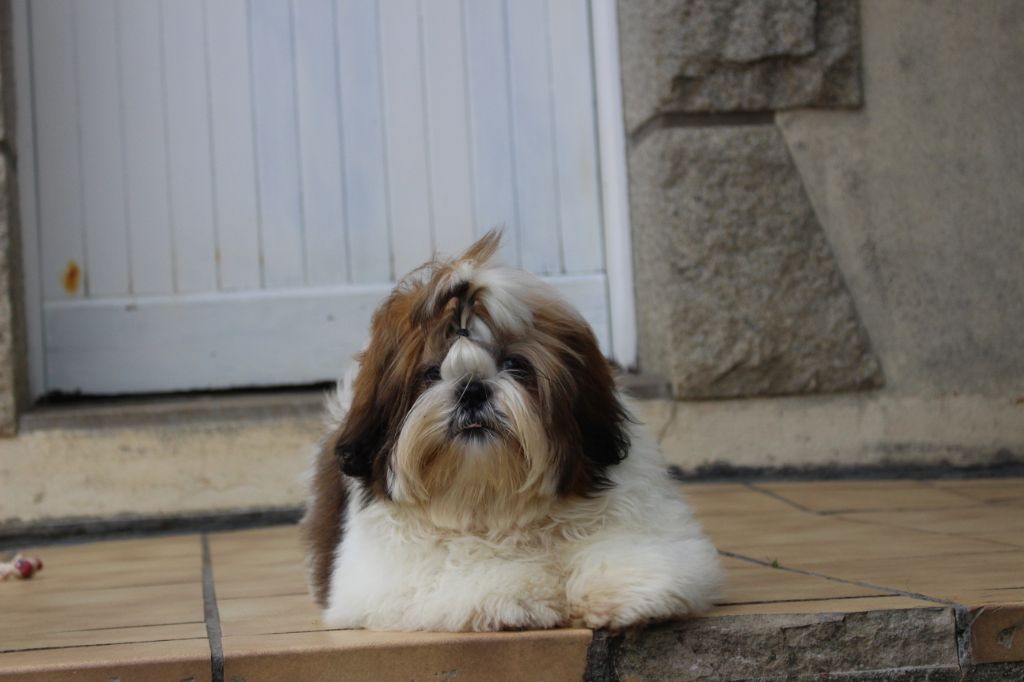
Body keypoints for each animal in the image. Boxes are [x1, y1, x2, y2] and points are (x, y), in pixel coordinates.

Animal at [303, 232, 723, 631]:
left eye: (515, 366)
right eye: (431, 373)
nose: (472, 389)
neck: (495, 500)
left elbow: (636, 551)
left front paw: (624, 591)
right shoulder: (387, 577)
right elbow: (465, 573)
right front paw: (517, 595)